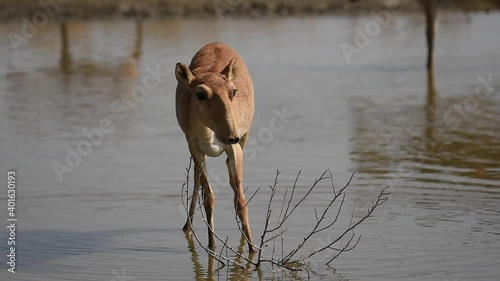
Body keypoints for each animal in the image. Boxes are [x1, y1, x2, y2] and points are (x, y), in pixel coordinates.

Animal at [174, 42, 256, 252]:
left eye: (233, 91)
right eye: (201, 94)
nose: (232, 136)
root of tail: (218, 43)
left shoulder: (235, 148)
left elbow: (241, 201)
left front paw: (253, 250)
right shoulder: (195, 147)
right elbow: (208, 197)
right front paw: (212, 246)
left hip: (243, 140)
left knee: (233, 183)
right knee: (197, 178)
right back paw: (187, 226)